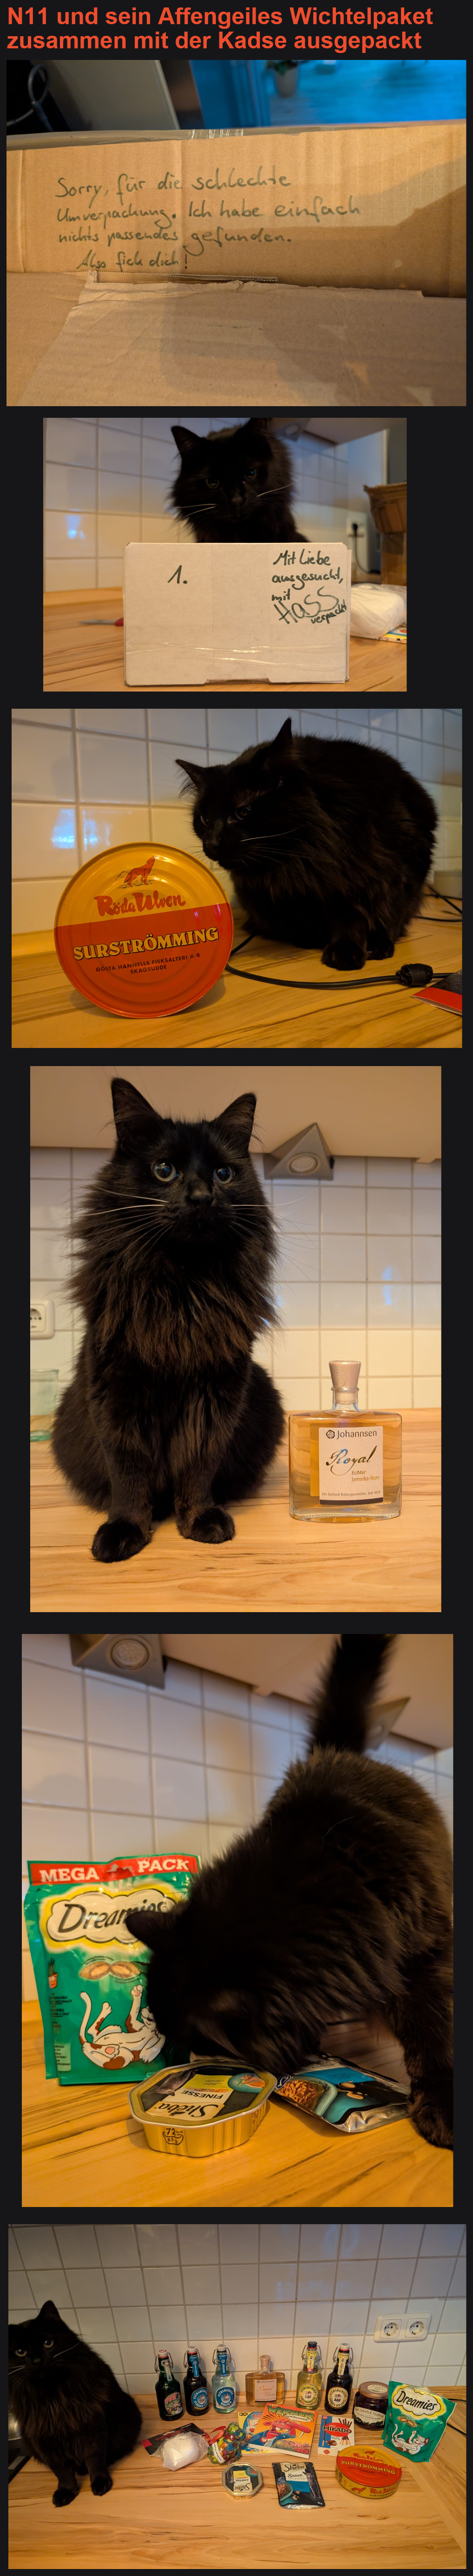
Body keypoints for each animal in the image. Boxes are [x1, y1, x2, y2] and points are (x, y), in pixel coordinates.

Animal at [8, 2301, 141, 2508]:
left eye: (48, 2343)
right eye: (20, 2352)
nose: (38, 2361)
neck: (53, 2395)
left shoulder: (92, 2422)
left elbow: (95, 2457)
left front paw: (100, 2482)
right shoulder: (40, 2433)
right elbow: (60, 2469)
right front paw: (66, 2491)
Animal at [51, 1081, 283, 1562]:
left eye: (223, 1175)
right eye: (164, 1170)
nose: (200, 1197)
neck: (182, 1289)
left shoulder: (215, 1395)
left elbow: (198, 1465)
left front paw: (200, 1519)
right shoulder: (116, 1393)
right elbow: (129, 1474)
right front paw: (125, 1530)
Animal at [126, 1636, 453, 2151]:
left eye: (208, 2047)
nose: (203, 2066)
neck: (328, 1860)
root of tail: (337, 1751)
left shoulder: (427, 1953)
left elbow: (434, 2031)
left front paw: (442, 2101)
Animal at [178, 717, 437, 970]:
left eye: (243, 812)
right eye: (205, 819)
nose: (211, 843)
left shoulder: (397, 863)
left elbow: (383, 911)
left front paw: (370, 945)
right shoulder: (307, 886)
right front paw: (332, 944)